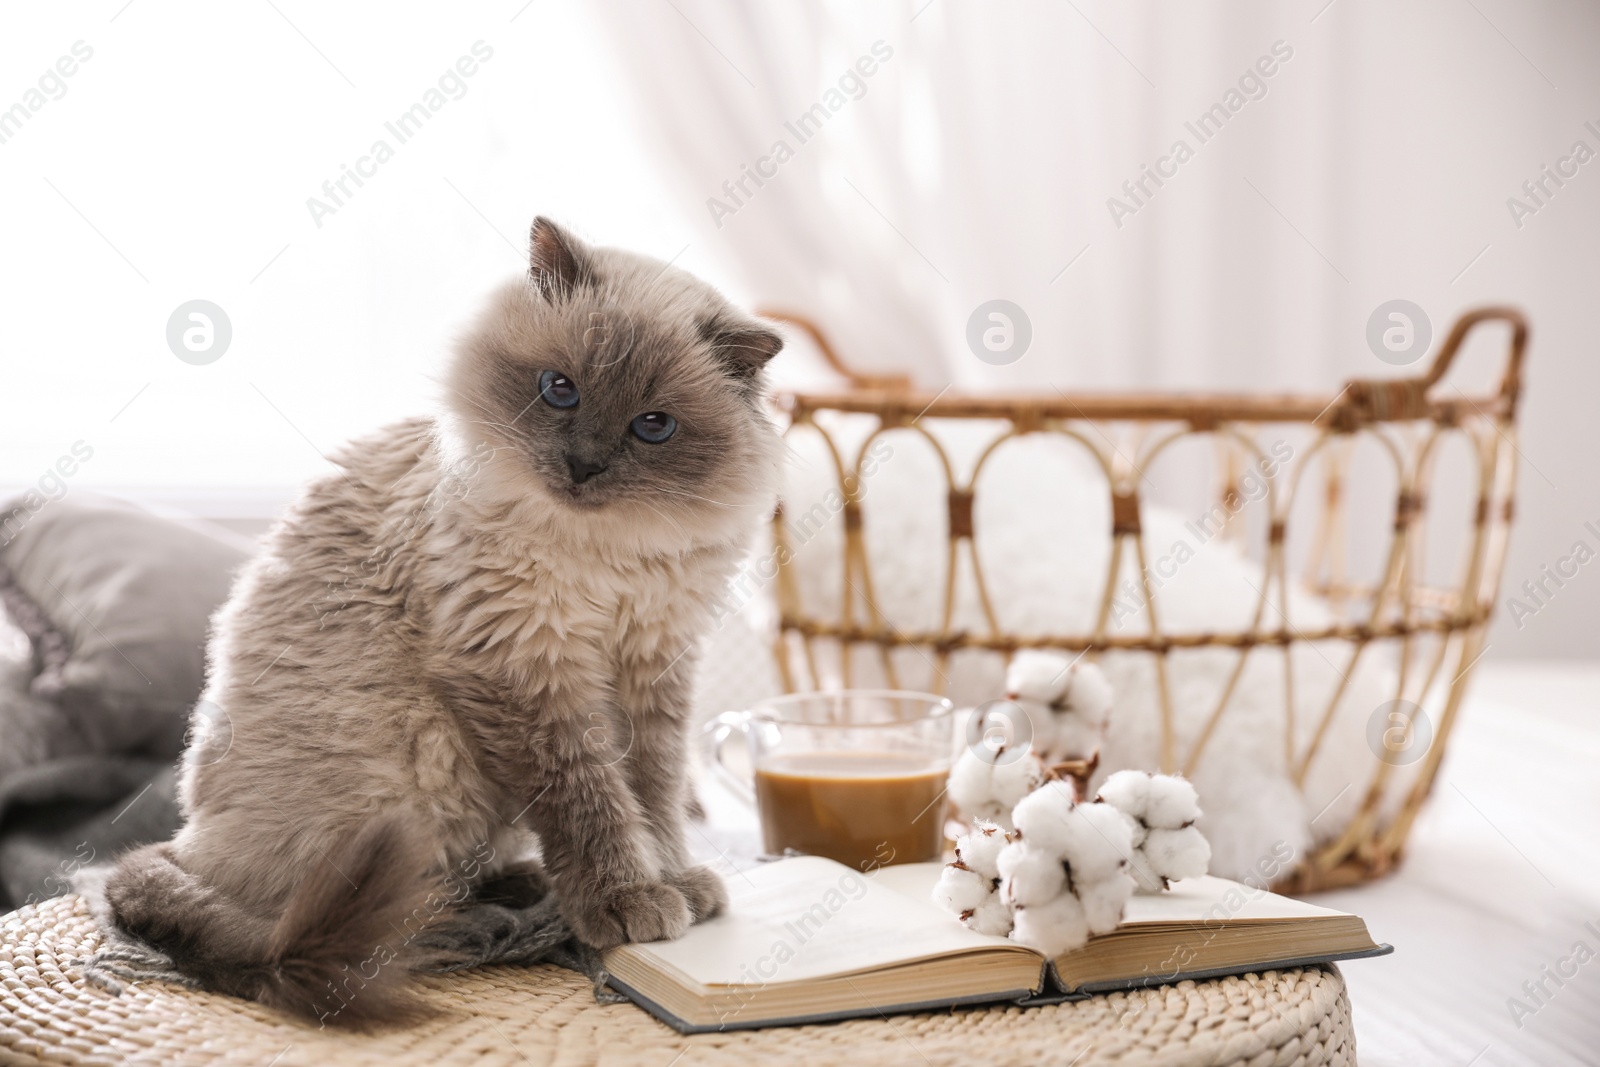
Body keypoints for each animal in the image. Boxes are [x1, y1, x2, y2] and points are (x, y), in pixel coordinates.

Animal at [87, 217, 787, 1023]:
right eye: (560, 389)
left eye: (653, 427)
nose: (583, 466)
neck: (607, 556)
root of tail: (186, 845)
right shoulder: (525, 671)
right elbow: (591, 800)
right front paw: (628, 899)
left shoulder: (653, 667)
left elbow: (654, 794)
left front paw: (676, 882)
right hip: (421, 774)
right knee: (346, 916)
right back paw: (493, 917)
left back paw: (521, 887)